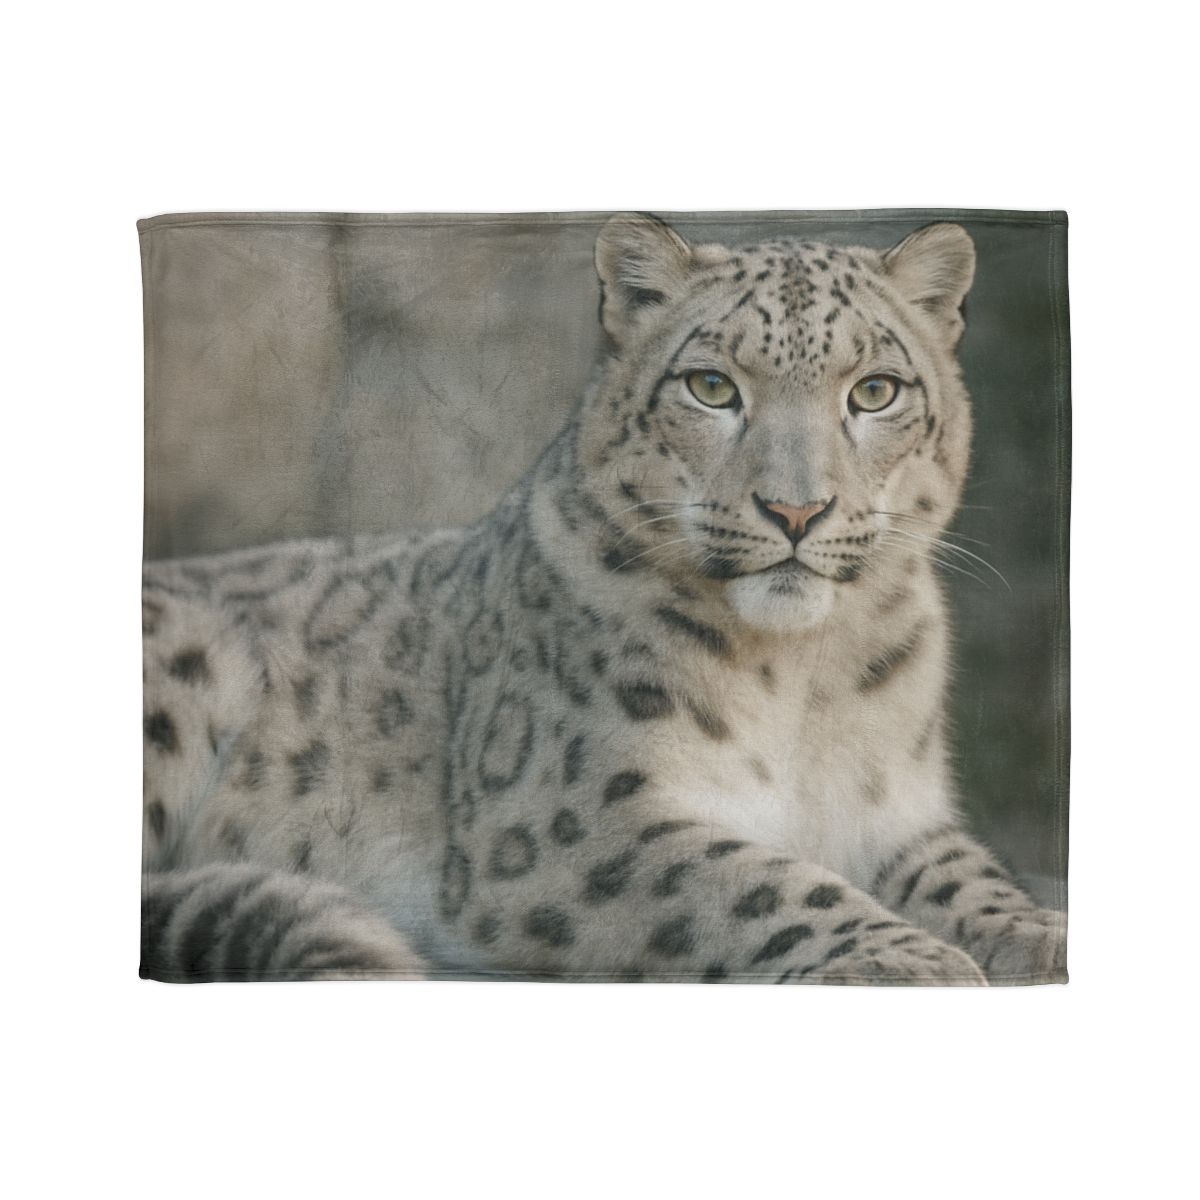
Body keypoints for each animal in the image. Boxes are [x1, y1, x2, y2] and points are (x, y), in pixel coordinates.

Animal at [141, 213, 1067, 984]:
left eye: (875, 390)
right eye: (711, 386)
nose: (796, 510)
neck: (801, 675)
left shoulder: (898, 815)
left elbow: (972, 878)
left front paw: (1042, 935)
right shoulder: (572, 818)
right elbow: (759, 881)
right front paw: (910, 959)